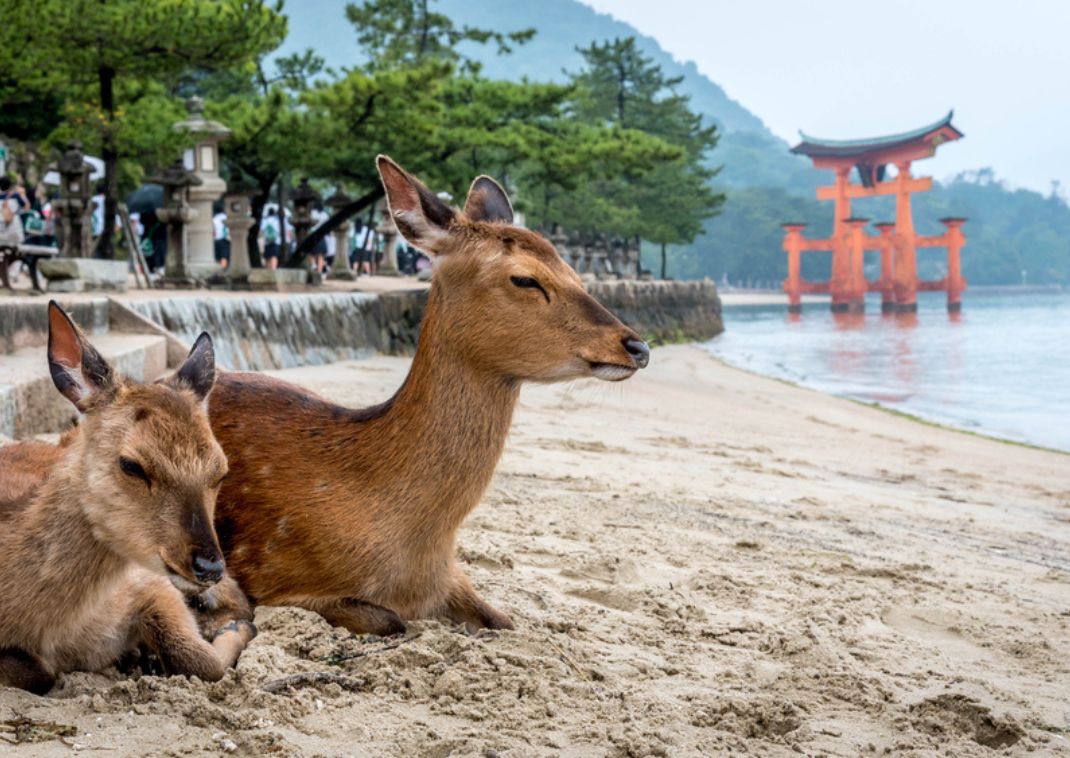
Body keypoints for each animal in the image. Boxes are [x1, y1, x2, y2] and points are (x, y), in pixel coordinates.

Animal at [0, 301, 254, 693]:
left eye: (221, 470)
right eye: (131, 465)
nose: (209, 565)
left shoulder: (152, 584)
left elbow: (203, 661)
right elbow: (38, 673)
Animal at [204, 155, 646, 633]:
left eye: (575, 274)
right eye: (525, 279)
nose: (637, 346)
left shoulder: (451, 580)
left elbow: (505, 621)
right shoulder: (273, 573)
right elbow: (391, 621)